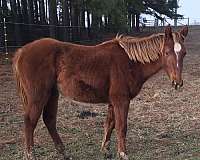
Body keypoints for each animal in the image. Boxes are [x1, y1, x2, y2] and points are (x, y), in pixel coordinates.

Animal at [13, 25, 188, 159]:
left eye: (184, 53)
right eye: (166, 52)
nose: (177, 82)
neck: (130, 62)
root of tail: (22, 51)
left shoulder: (113, 101)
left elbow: (109, 124)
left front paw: (105, 150)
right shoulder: (121, 100)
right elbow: (121, 126)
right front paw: (123, 153)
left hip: (52, 94)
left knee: (49, 120)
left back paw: (63, 152)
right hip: (38, 95)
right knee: (30, 121)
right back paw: (31, 155)